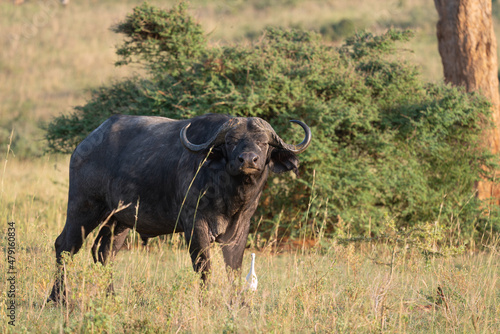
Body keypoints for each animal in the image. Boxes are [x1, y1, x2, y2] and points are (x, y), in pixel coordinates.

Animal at [48, 113, 310, 302]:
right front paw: (204, 301)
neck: (227, 192)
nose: (248, 160)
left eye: (263, 142)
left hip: (119, 221)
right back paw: (58, 298)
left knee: (104, 252)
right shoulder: (195, 225)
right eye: (231, 142)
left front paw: (237, 303)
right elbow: (204, 267)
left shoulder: (240, 226)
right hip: (84, 207)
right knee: (65, 246)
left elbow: (234, 269)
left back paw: (111, 297)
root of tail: (83, 145)